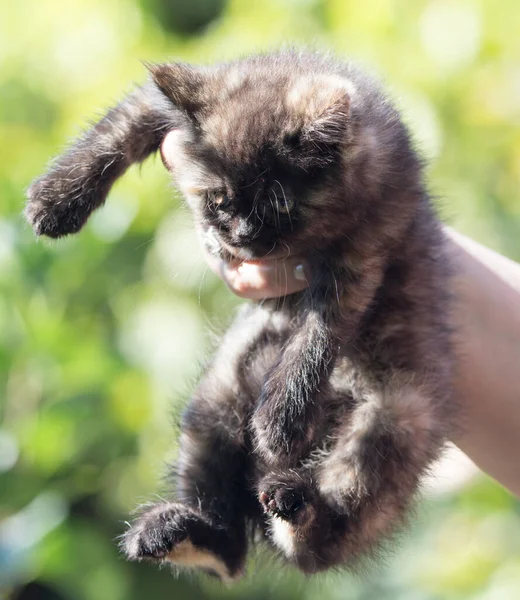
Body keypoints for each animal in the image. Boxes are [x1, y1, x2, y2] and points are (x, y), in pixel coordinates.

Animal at [25, 51, 456, 580]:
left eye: (280, 210)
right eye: (218, 200)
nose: (241, 236)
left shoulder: (366, 252)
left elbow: (319, 332)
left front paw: (282, 418)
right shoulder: (175, 95)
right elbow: (119, 126)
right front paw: (57, 198)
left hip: (393, 421)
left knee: (322, 536)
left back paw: (297, 506)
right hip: (216, 398)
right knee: (228, 553)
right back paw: (181, 533)